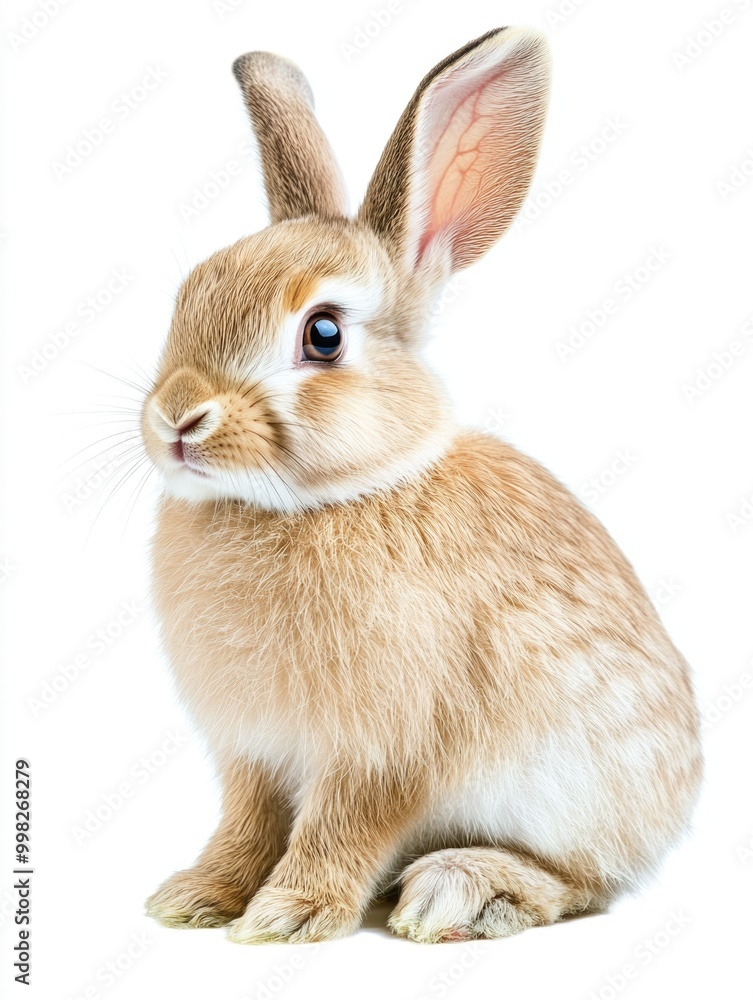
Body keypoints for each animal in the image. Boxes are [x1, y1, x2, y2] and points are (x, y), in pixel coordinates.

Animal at [142, 26, 702, 944]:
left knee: (582, 883)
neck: (325, 498)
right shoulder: (253, 754)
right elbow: (246, 824)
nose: (176, 417)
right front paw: (195, 897)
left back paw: (463, 889)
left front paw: (288, 915)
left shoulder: (381, 752)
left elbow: (341, 828)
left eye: (323, 335)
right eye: (188, 294)